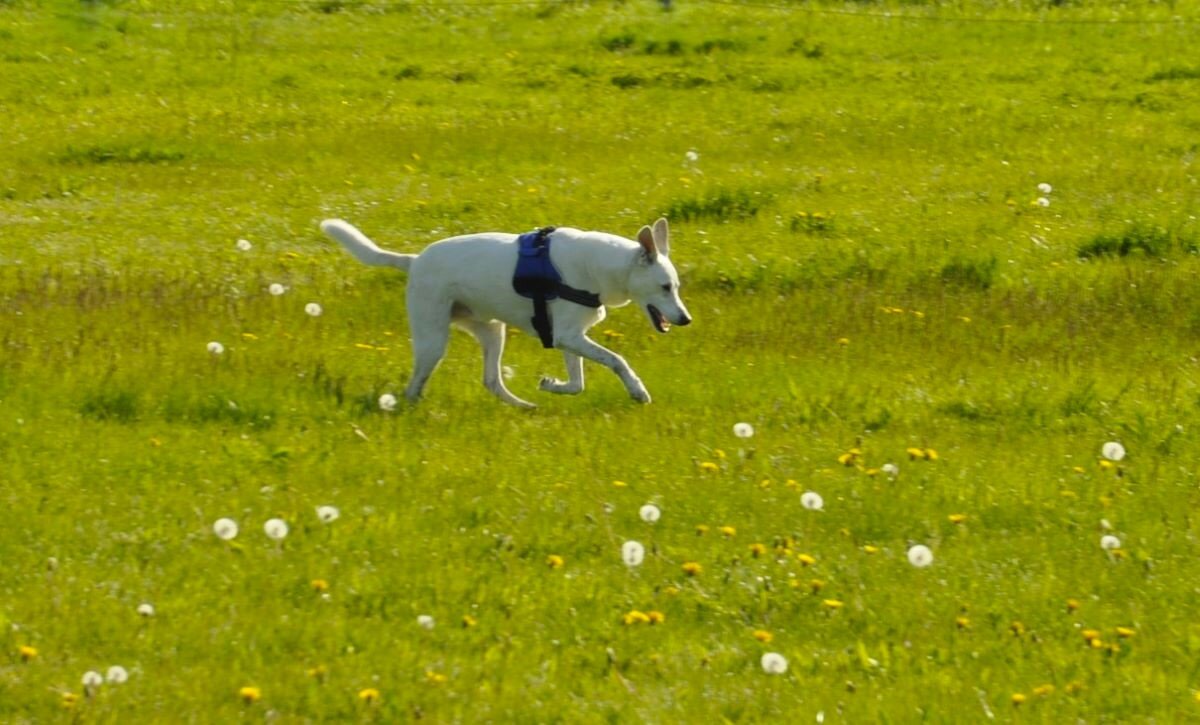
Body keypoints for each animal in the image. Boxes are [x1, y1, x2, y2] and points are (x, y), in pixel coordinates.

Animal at [321, 214, 696, 408]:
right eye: (665, 287)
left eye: (676, 286)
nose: (686, 320)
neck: (602, 267)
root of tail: (413, 262)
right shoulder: (568, 336)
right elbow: (617, 361)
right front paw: (637, 390)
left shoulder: (568, 337)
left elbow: (577, 383)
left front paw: (552, 385)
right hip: (433, 340)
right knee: (414, 386)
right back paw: (414, 406)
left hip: (492, 332)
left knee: (491, 380)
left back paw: (524, 407)